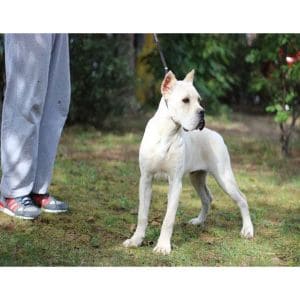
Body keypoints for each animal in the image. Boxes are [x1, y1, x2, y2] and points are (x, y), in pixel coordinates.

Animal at [123, 69, 254, 253]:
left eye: (199, 100)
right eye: (185, 100)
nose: (202, 112)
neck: (166, 132)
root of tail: (217, 134)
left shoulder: (175, 183)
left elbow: (168, 218)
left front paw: (163, 246)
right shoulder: (146, 180)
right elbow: (142, 214)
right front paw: (136, 240)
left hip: (224, 177)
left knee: (242, 199)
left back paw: (247, 230)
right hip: (196, 177)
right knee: (207, 198)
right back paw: (199, 221)